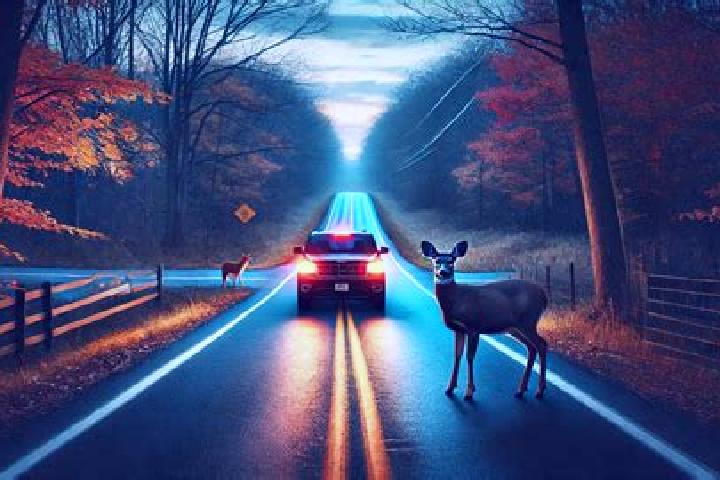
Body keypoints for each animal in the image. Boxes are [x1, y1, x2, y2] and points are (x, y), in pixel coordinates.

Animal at [421, 240, 549, 401]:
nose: (443, 272)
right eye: (436, 260)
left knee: (542, 344)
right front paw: (450, 388)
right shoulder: (459, 330)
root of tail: (544, 295)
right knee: (532, 348)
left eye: (452, 261)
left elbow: (470, 357)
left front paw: (469, 392)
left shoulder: (474, 327)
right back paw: (521, 390)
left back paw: (540, 391)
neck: (457, 300)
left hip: (528, 321)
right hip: (515, 328)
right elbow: (457, 355)